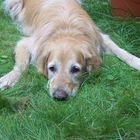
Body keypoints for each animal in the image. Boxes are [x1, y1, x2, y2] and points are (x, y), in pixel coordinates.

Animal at [0, 0, 140, 100]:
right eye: (52, 68)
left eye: (75, 69)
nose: (59, 96)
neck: (68, 30)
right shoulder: (26, 43)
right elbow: (21, 66)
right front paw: (8, 79)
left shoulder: (101, 38)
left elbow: (122, 52)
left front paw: (137, 61)